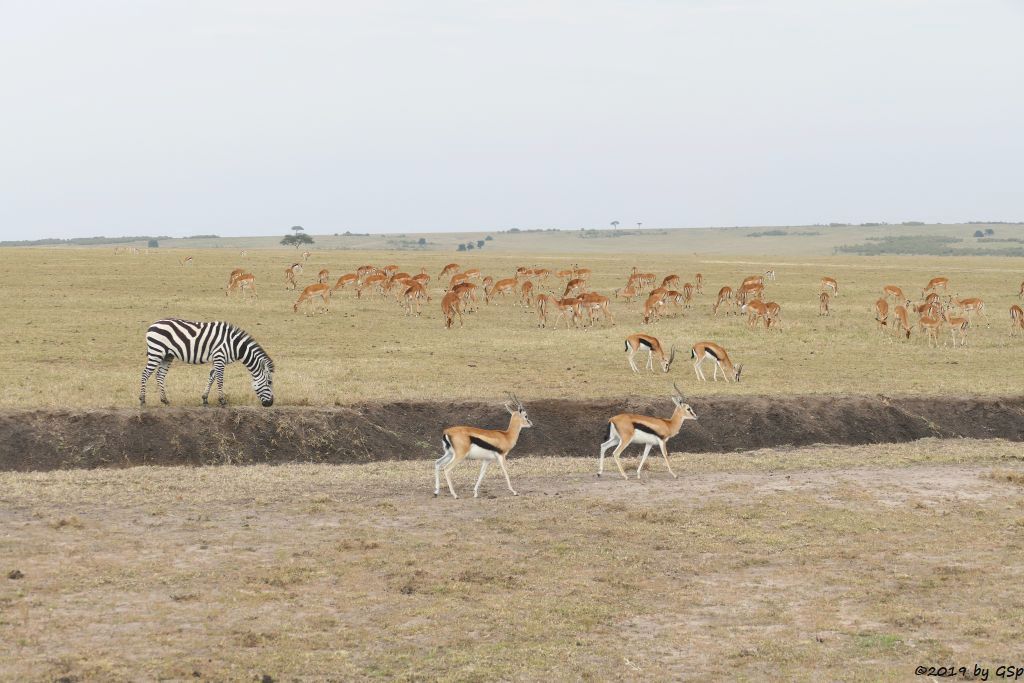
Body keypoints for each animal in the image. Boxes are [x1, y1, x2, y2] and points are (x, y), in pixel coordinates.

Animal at [142, 319, 276, 409]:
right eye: (269, 382)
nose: (270, 404)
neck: (234, 345)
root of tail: (152, 325)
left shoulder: (218, 359)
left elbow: (212, 377)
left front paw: (205, 399)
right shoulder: (219, 357)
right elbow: (220, 379)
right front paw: (222, 400)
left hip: (167, 355)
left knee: (159, 375)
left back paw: (164, 400)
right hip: (156, 351)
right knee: (145, 374)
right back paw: (142, 400)